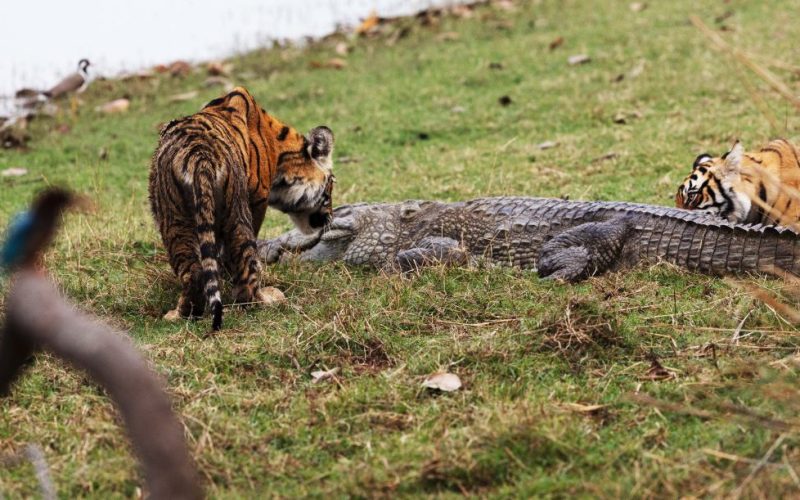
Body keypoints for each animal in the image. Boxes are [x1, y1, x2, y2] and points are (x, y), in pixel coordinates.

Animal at [150, 88, 334, 330]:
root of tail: (200, 155)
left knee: (193, 273)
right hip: (237, 211)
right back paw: (268, 298)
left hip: (174, 218)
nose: (331, 217)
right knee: (246, 272)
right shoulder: (257, 200)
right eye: (332, 184)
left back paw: (180, 314)